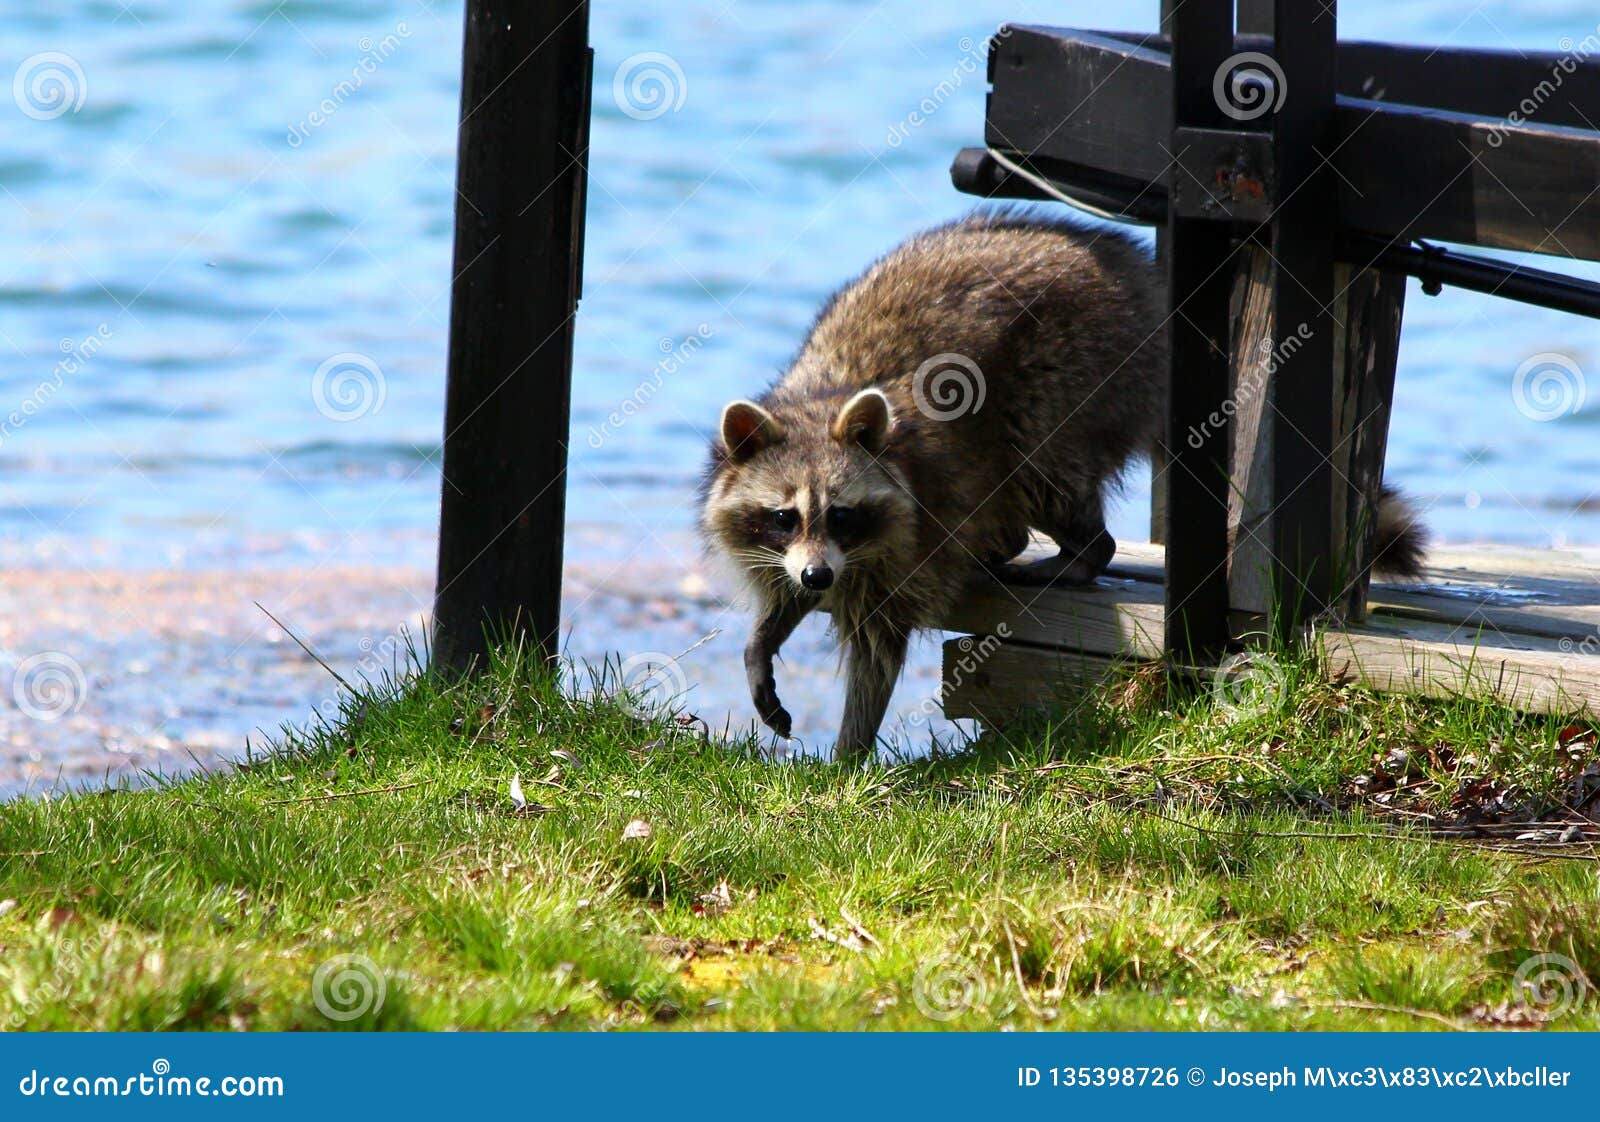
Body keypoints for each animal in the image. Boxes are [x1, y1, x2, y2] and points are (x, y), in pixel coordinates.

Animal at [700, 214, 1427, 761]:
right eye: (785, 517)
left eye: (843, 515)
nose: (819, 576)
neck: (822, 400)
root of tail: (1146, 281)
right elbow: (783, 596)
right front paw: (764, 640)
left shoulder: (902, 547)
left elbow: (879, 650)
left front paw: (849, 756)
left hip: (1078, 372)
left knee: (1042, 468)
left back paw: (1078, 552)